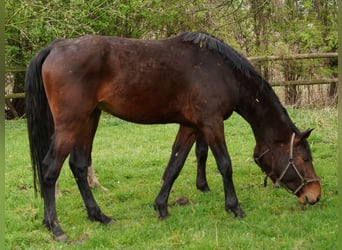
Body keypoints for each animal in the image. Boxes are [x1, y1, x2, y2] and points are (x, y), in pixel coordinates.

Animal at [24, 31, 320, 240]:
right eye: (304, 159)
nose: (314, 195)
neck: (222, 72)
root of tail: (56, 47)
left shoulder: (190, 126)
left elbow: (174, 165)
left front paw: (162, 208)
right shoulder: (211, 124)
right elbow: (225, 165)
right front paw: (234, 207)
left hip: (89, 119)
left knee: (78, 165)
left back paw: (99, 216)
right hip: (70, 124)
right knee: (50, 169)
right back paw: (55, 227)